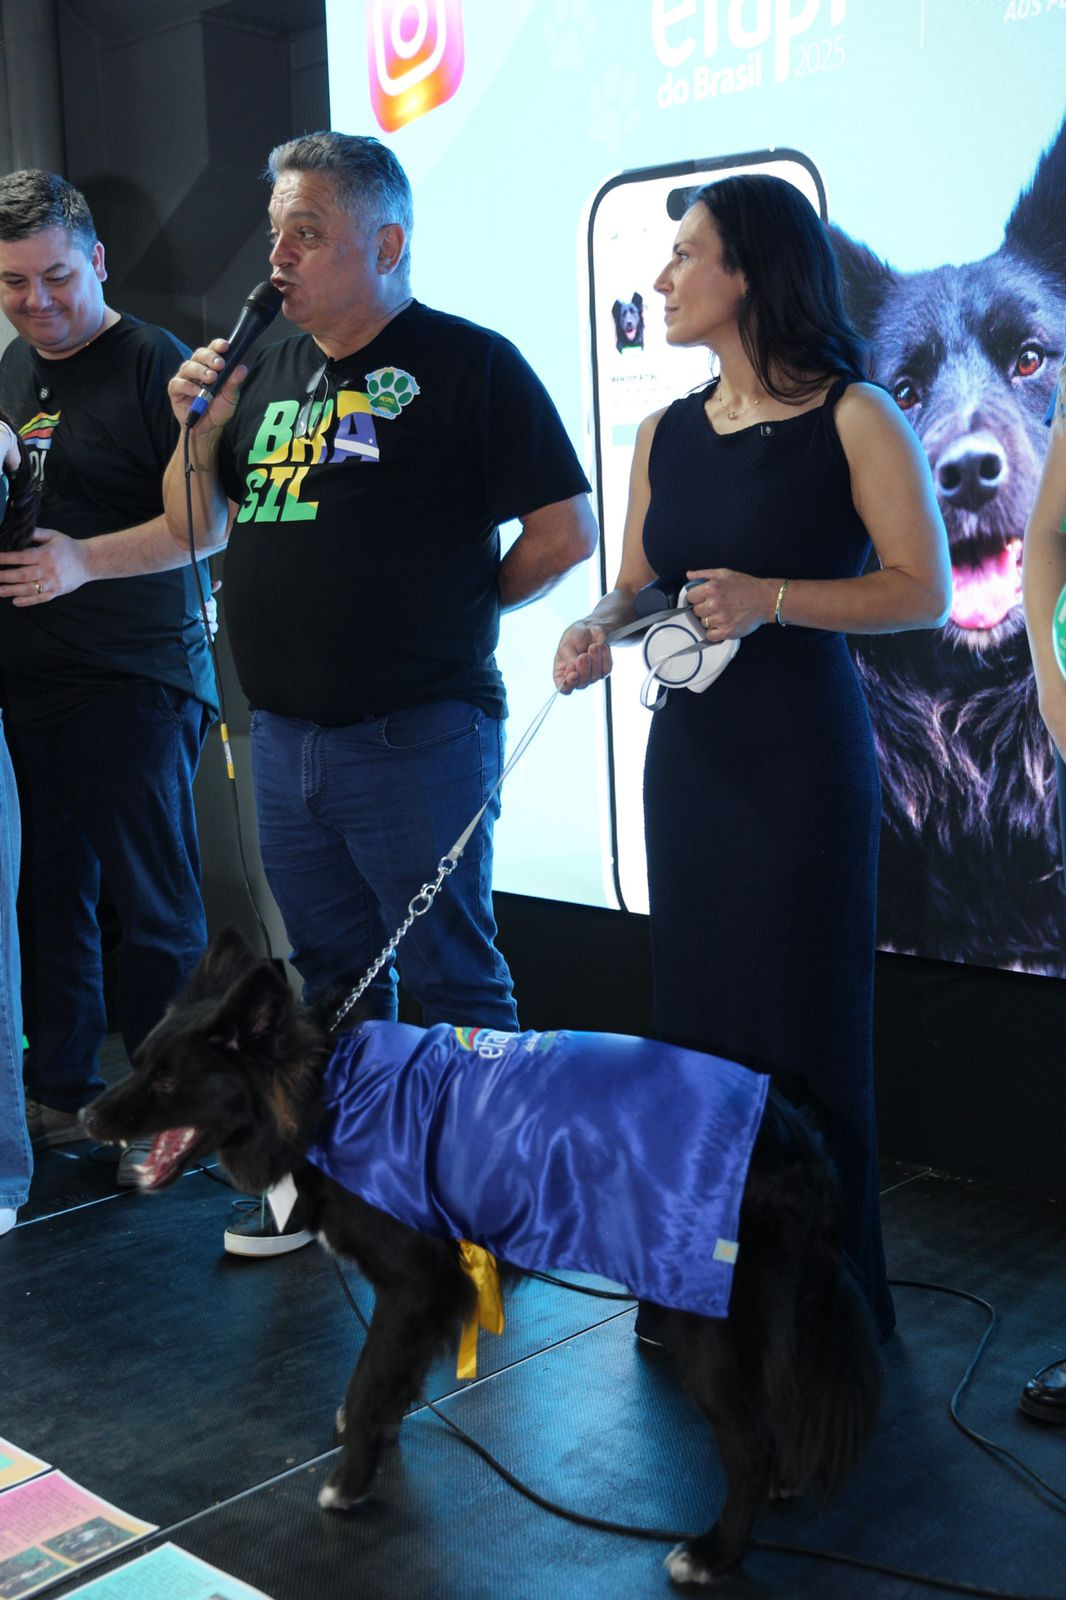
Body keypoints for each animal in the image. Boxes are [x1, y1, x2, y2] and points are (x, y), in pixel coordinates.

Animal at [84, 928, 881, 1588]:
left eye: (166, 1081)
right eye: (140, 1060)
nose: (91, 1117)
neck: (326, 1092)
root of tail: (795, 1130)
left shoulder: (413, 1284)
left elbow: (369, 1378)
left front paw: (351, 1479)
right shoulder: (427, 1298)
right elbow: (387, 1378)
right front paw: (378, 1433)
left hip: (703, 1322)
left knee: (748, 1445)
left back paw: (715, 1553)